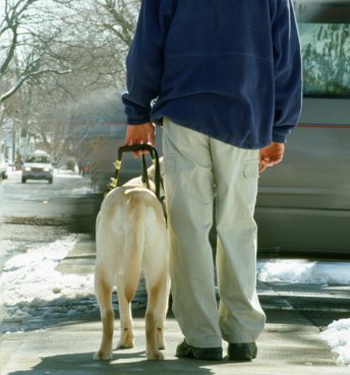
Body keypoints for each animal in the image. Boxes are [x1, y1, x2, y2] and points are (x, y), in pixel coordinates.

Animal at [93, 163, 170, 362]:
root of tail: (132, 200)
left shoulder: (122, 274)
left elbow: (124, 306)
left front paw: (126, 342)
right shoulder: (168, 276)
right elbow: (162, 311)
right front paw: (161, 342)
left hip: (104, 266)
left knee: (108, 314)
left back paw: (103, 353)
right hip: (158, 270)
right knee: (151, 315)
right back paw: (155, 352)